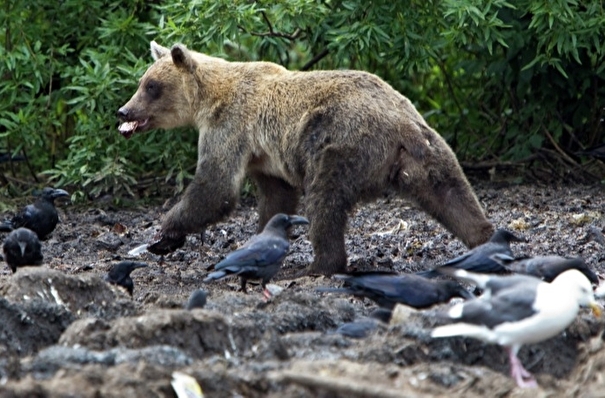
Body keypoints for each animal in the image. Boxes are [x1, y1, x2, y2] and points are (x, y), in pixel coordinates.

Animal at [119, 41, 496, 276]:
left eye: (151, 86)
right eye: (142, 81)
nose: (124, 110)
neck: (208, 99)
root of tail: (399, 124)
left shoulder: (230, 128)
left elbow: (216, 188)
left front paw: (164, 233)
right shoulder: (265, 157)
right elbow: (276, 197)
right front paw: (262, 238)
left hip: (338, 145)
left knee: (325, 201)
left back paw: (318, 265)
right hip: (427, 148)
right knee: (453, 193)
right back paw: (485, 238)